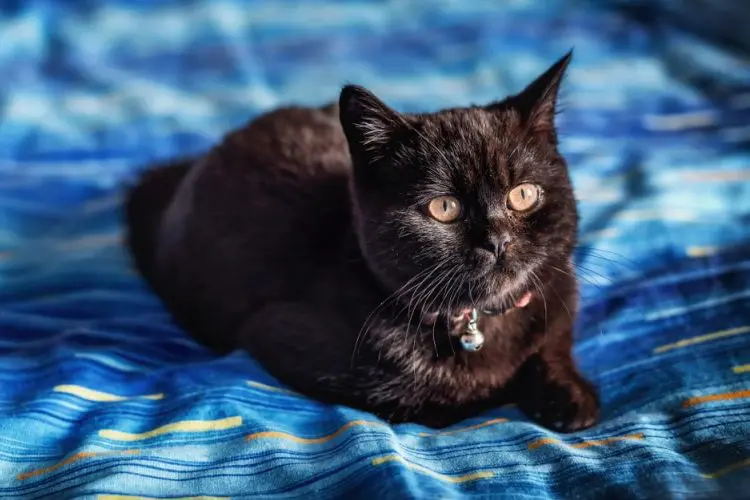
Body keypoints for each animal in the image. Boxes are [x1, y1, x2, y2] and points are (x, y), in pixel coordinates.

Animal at [126, 52, 604, 432]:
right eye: (444, 207)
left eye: (522, 195)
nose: (497, 241)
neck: (481, 323)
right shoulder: (275, 336)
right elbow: (458, 398)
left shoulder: (561, 291)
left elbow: (552, 344)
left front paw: (570, 396)